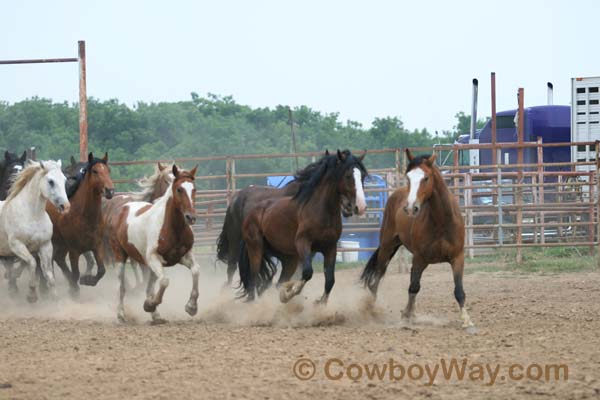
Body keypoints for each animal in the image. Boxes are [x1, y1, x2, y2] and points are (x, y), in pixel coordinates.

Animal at [0, 161, 70, 302]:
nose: (65, 207)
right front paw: (31, 295)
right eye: (51, 181)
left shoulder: (45, 245)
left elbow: (48, 273)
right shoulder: (17, 245)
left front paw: (54, 298)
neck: (32, 215)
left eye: (64, 179)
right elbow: (31, 263)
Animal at [46, 152, 115, 296]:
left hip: (61, 245)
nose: (110, 191)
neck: (85, 217)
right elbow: (76, 273)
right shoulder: (74, 250)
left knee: (58, 258)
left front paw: (87, 280)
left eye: (108, 170)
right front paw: (74, 290)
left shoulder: (97, 246)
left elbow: (101, 270)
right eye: (95, 171)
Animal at [106, 164, 202, 324]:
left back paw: (156, 316)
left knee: (148, 287)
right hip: (119, 256)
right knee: (122, 287)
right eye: (179, 189)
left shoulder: (184, 256)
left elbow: (195, 271)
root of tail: (122, 208)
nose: (191, 217)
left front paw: (191, 307)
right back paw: (121, 315)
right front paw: (149, 305)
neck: (171, 226)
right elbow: (164, 281)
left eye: (194, 189)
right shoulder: (153, 258)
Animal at [237, 150, 368, 304]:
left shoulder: (330, 247)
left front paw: (319, 303)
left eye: (363, 176)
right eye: (348, 176)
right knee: (253, 280)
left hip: (289, 258)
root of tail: (252, 212)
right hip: (255, 248)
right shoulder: (303, 242)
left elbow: (330, 280)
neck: (321, 211)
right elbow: (307, 273)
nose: (360, 206)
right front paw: (289, 294)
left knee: (278, 282)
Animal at [358, 149, 476, 328]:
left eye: (425, 178)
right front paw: (406, 316)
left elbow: (459, 290)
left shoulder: (457, 257)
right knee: (377, 278)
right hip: (387, 247)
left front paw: (466, 320)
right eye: (408, 178)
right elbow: (414, 287)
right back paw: (372, 310)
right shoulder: (419, 258)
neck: (442, 221)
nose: (410, 208)